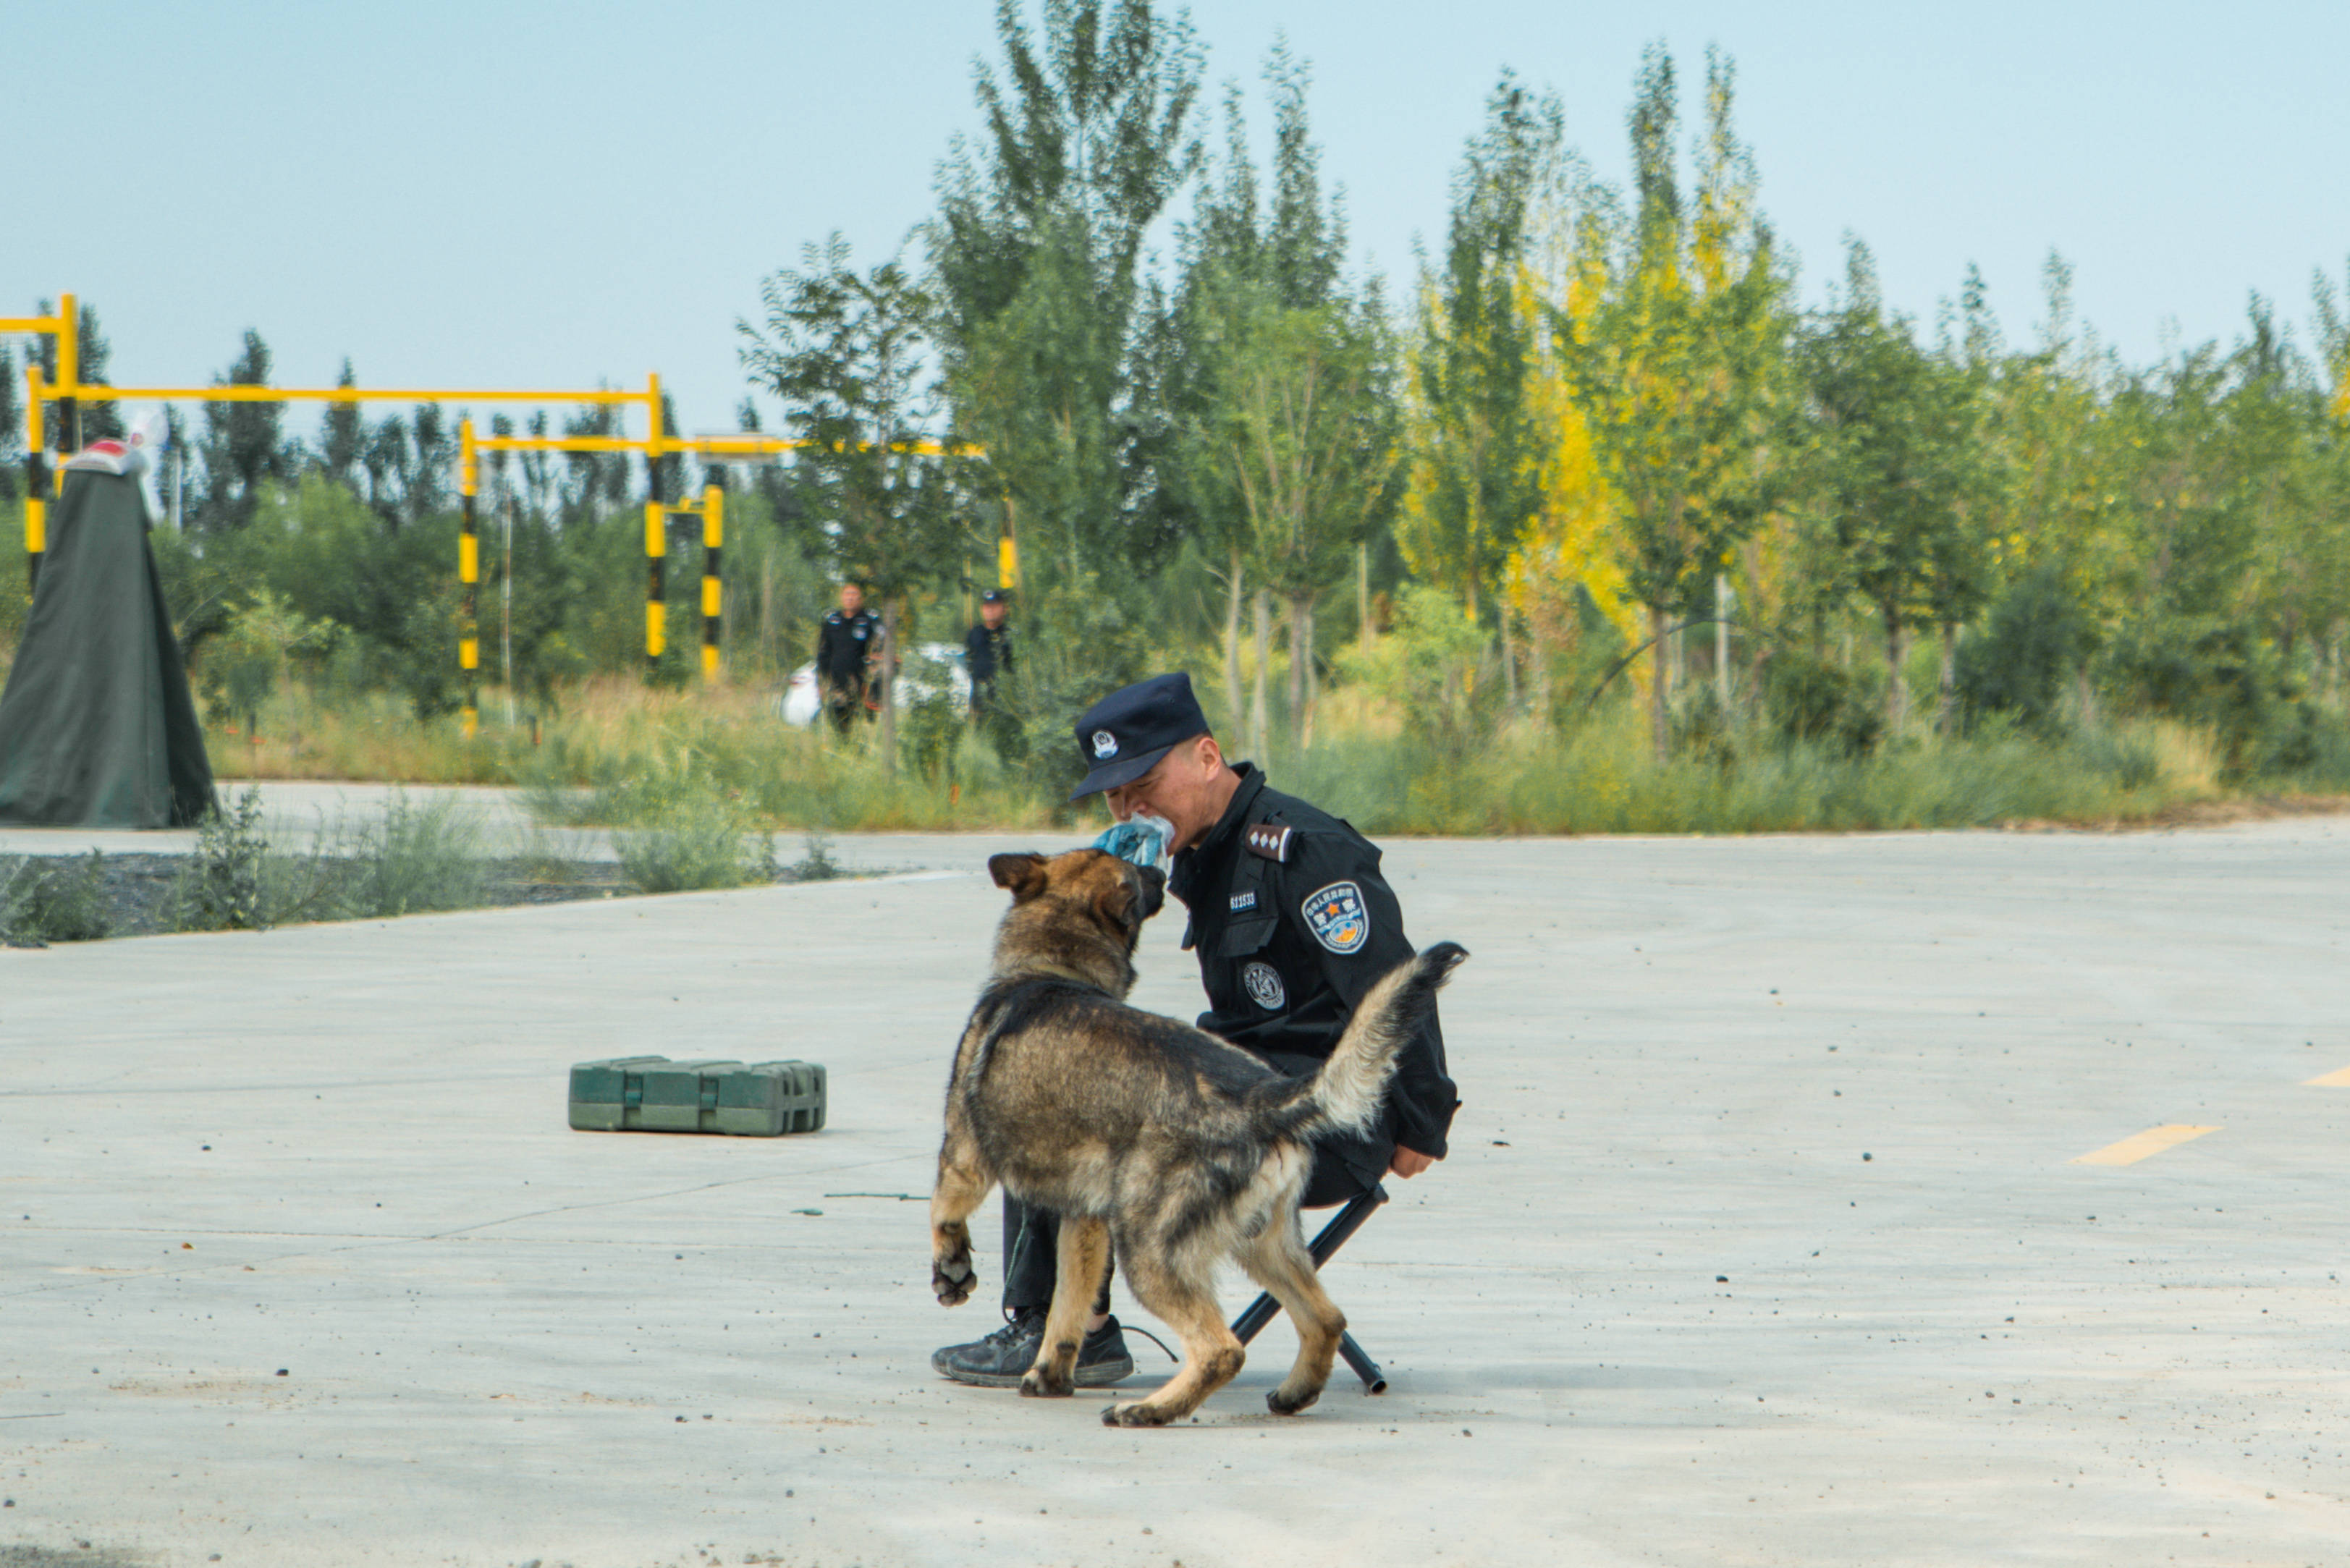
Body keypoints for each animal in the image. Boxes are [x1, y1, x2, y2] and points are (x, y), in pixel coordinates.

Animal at [926, 851, 1457, 1429]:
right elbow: (1069, 1302)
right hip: (1259, 1244)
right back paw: (1294, 1393)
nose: (1159, 869)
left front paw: (951, 1270)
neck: (1052, 966)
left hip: (1149, 1251)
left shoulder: (965, 1157)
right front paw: (1050, 1375)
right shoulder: (1085, 1221)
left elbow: (942, 1210)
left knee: (1221, 1349)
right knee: (1325, 1319)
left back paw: (1150, 1409)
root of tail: (1260, 1096)